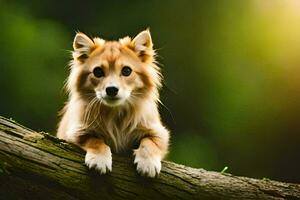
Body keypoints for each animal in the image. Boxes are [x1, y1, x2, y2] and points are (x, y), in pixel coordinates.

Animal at [56, 29, 169, 177]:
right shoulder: (75, 132)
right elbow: (95, 140)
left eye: (126, 71)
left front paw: (148, 162)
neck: (115, 114)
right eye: (98, 72)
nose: (111, 89)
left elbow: (150, 141)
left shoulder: (159, 131)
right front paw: (99, 159)